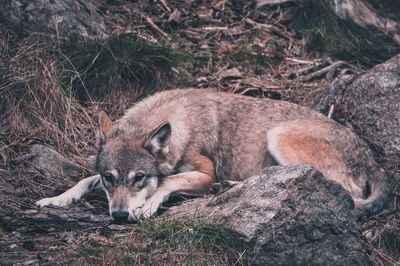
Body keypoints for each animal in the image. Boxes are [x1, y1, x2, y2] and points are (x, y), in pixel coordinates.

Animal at [36, 88, 388, 221]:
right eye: (110, 179)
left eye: (140, 178)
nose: (119, 216)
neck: (179, 121)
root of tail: (371, 157)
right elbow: (84, 180)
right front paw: (56, 199)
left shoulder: (205, 173)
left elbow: (169, 181)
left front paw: (148, 205)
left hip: (278, 136)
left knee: (339, 190)